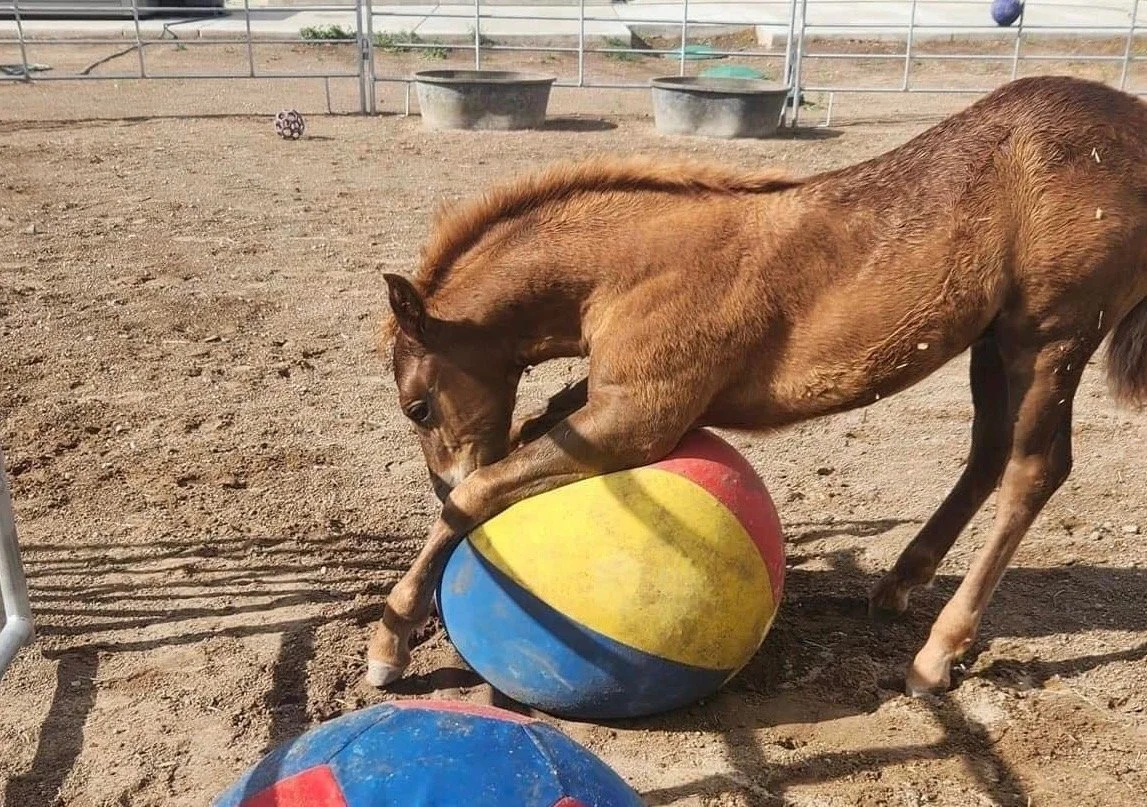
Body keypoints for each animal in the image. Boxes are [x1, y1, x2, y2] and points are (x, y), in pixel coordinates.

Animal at [367, 75, 1147, 697]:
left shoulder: (640, 418)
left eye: (418, 405)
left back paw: (936, 654)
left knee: (1032, 469)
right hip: (993, 339)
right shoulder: (617, 398)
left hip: (1052, 336)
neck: (626, 269)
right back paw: (898, 583)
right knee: (988, 452)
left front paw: (391, 638)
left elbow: (479, 489)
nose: (433, 481)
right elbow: (529, 431)